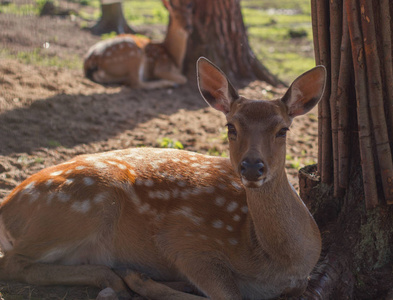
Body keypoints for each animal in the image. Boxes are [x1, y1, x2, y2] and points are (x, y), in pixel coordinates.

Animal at [0, 57, 324, 298]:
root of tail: (6, 206)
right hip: (82, 207)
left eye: (283, 130)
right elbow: (228, 295)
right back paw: (118, 280)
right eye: (231, 127)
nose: (253, 167)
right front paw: (142, 280)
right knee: (13, 263)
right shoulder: (187, 242)